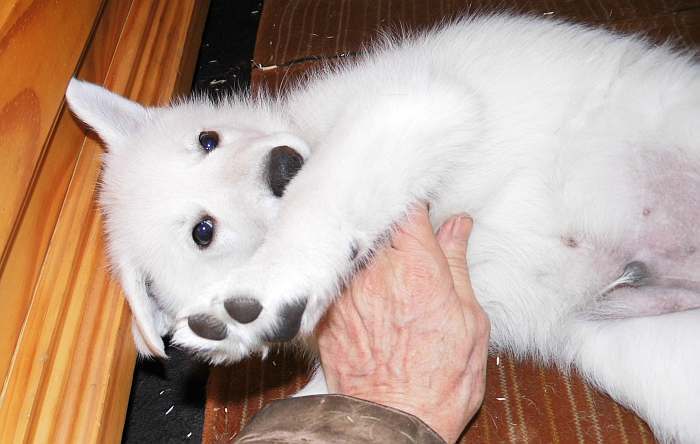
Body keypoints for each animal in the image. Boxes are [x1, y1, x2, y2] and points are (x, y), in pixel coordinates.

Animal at [67, 15, 700, 442]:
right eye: (204, 231)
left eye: (207, 139)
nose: (282, 164)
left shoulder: (413, 103)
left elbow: (325, 190)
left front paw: (264, 287)